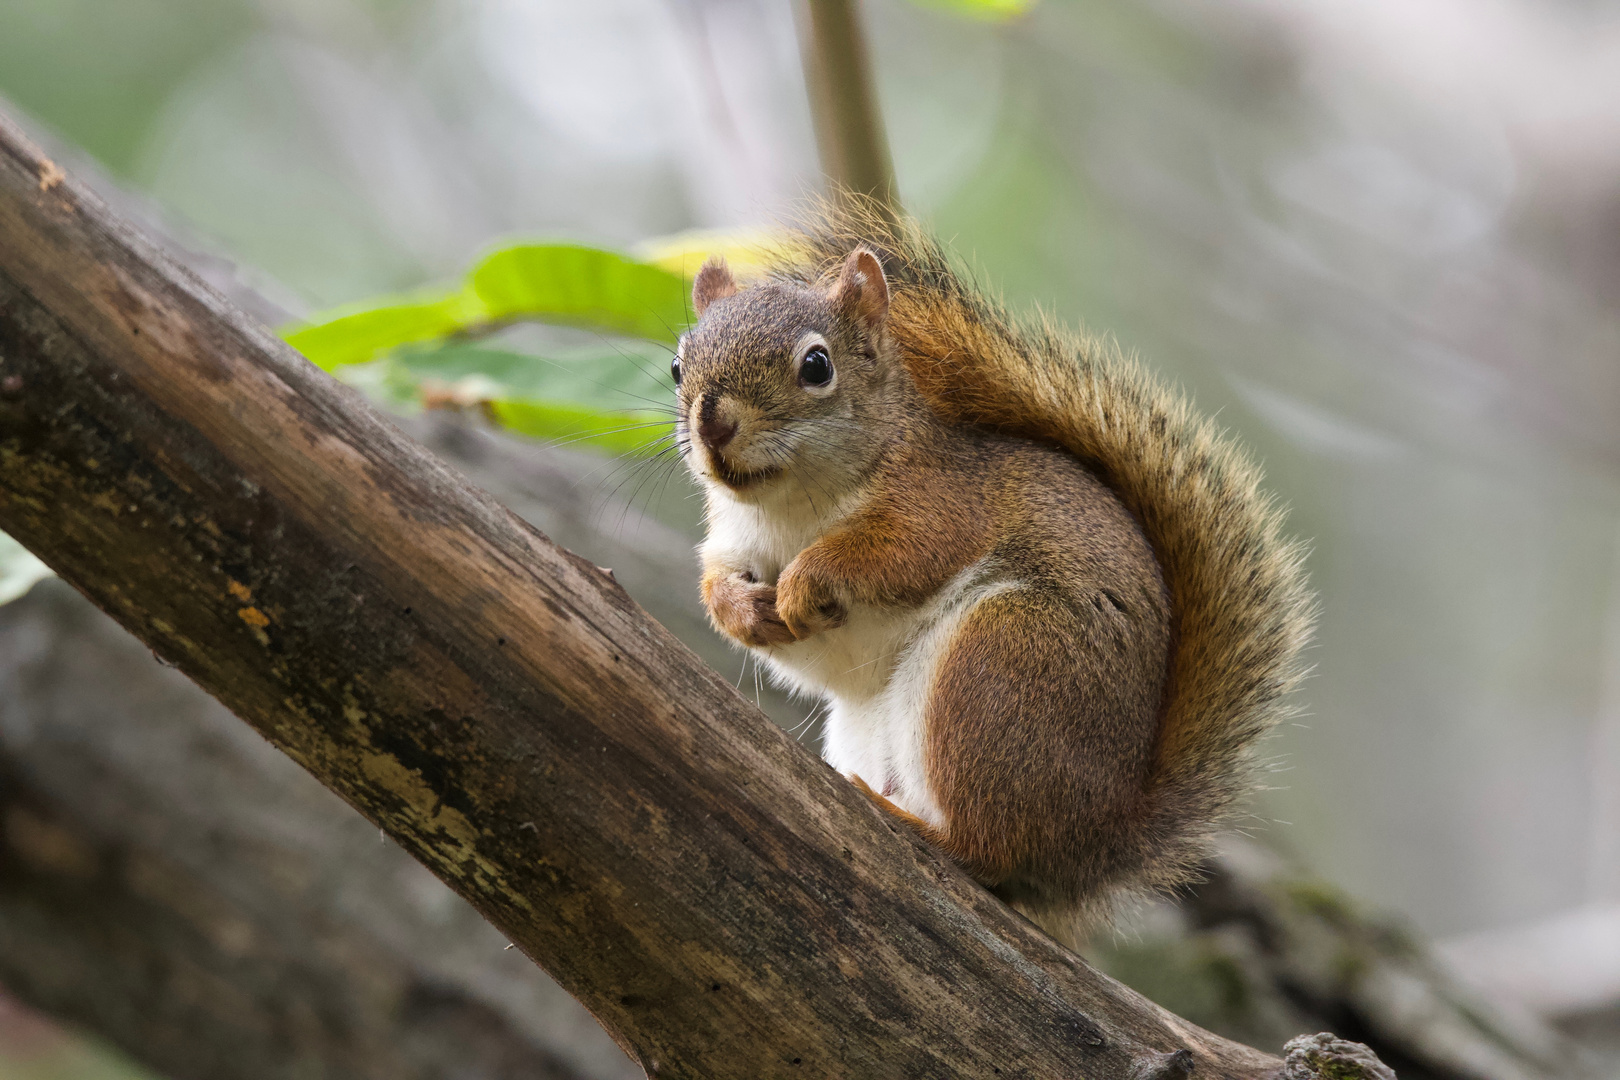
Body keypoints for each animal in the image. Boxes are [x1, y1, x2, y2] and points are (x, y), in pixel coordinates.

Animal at [670, 204, 1315, 945]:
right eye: (677, 365)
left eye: (816, 365)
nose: (712, 422)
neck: (786, 508)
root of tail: (1090, 843)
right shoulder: (732, 541)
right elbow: (722, 587)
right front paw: (744, 611)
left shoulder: (944, 501)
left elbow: (898, 551)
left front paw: (808, 580)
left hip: (998, 666)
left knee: (985, 851)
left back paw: (916, 826)